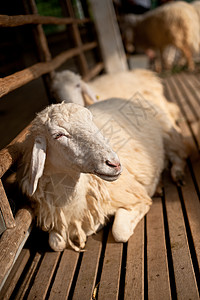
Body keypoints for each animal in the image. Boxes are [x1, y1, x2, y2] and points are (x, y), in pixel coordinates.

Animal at [16, 97, 187, 252]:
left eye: (91, 121)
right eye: (58, 135)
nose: (114, 163)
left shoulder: (133, 195)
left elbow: (120, 231)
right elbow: (56, 243)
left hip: (168, 133)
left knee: (177, 154)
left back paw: (177, 174)